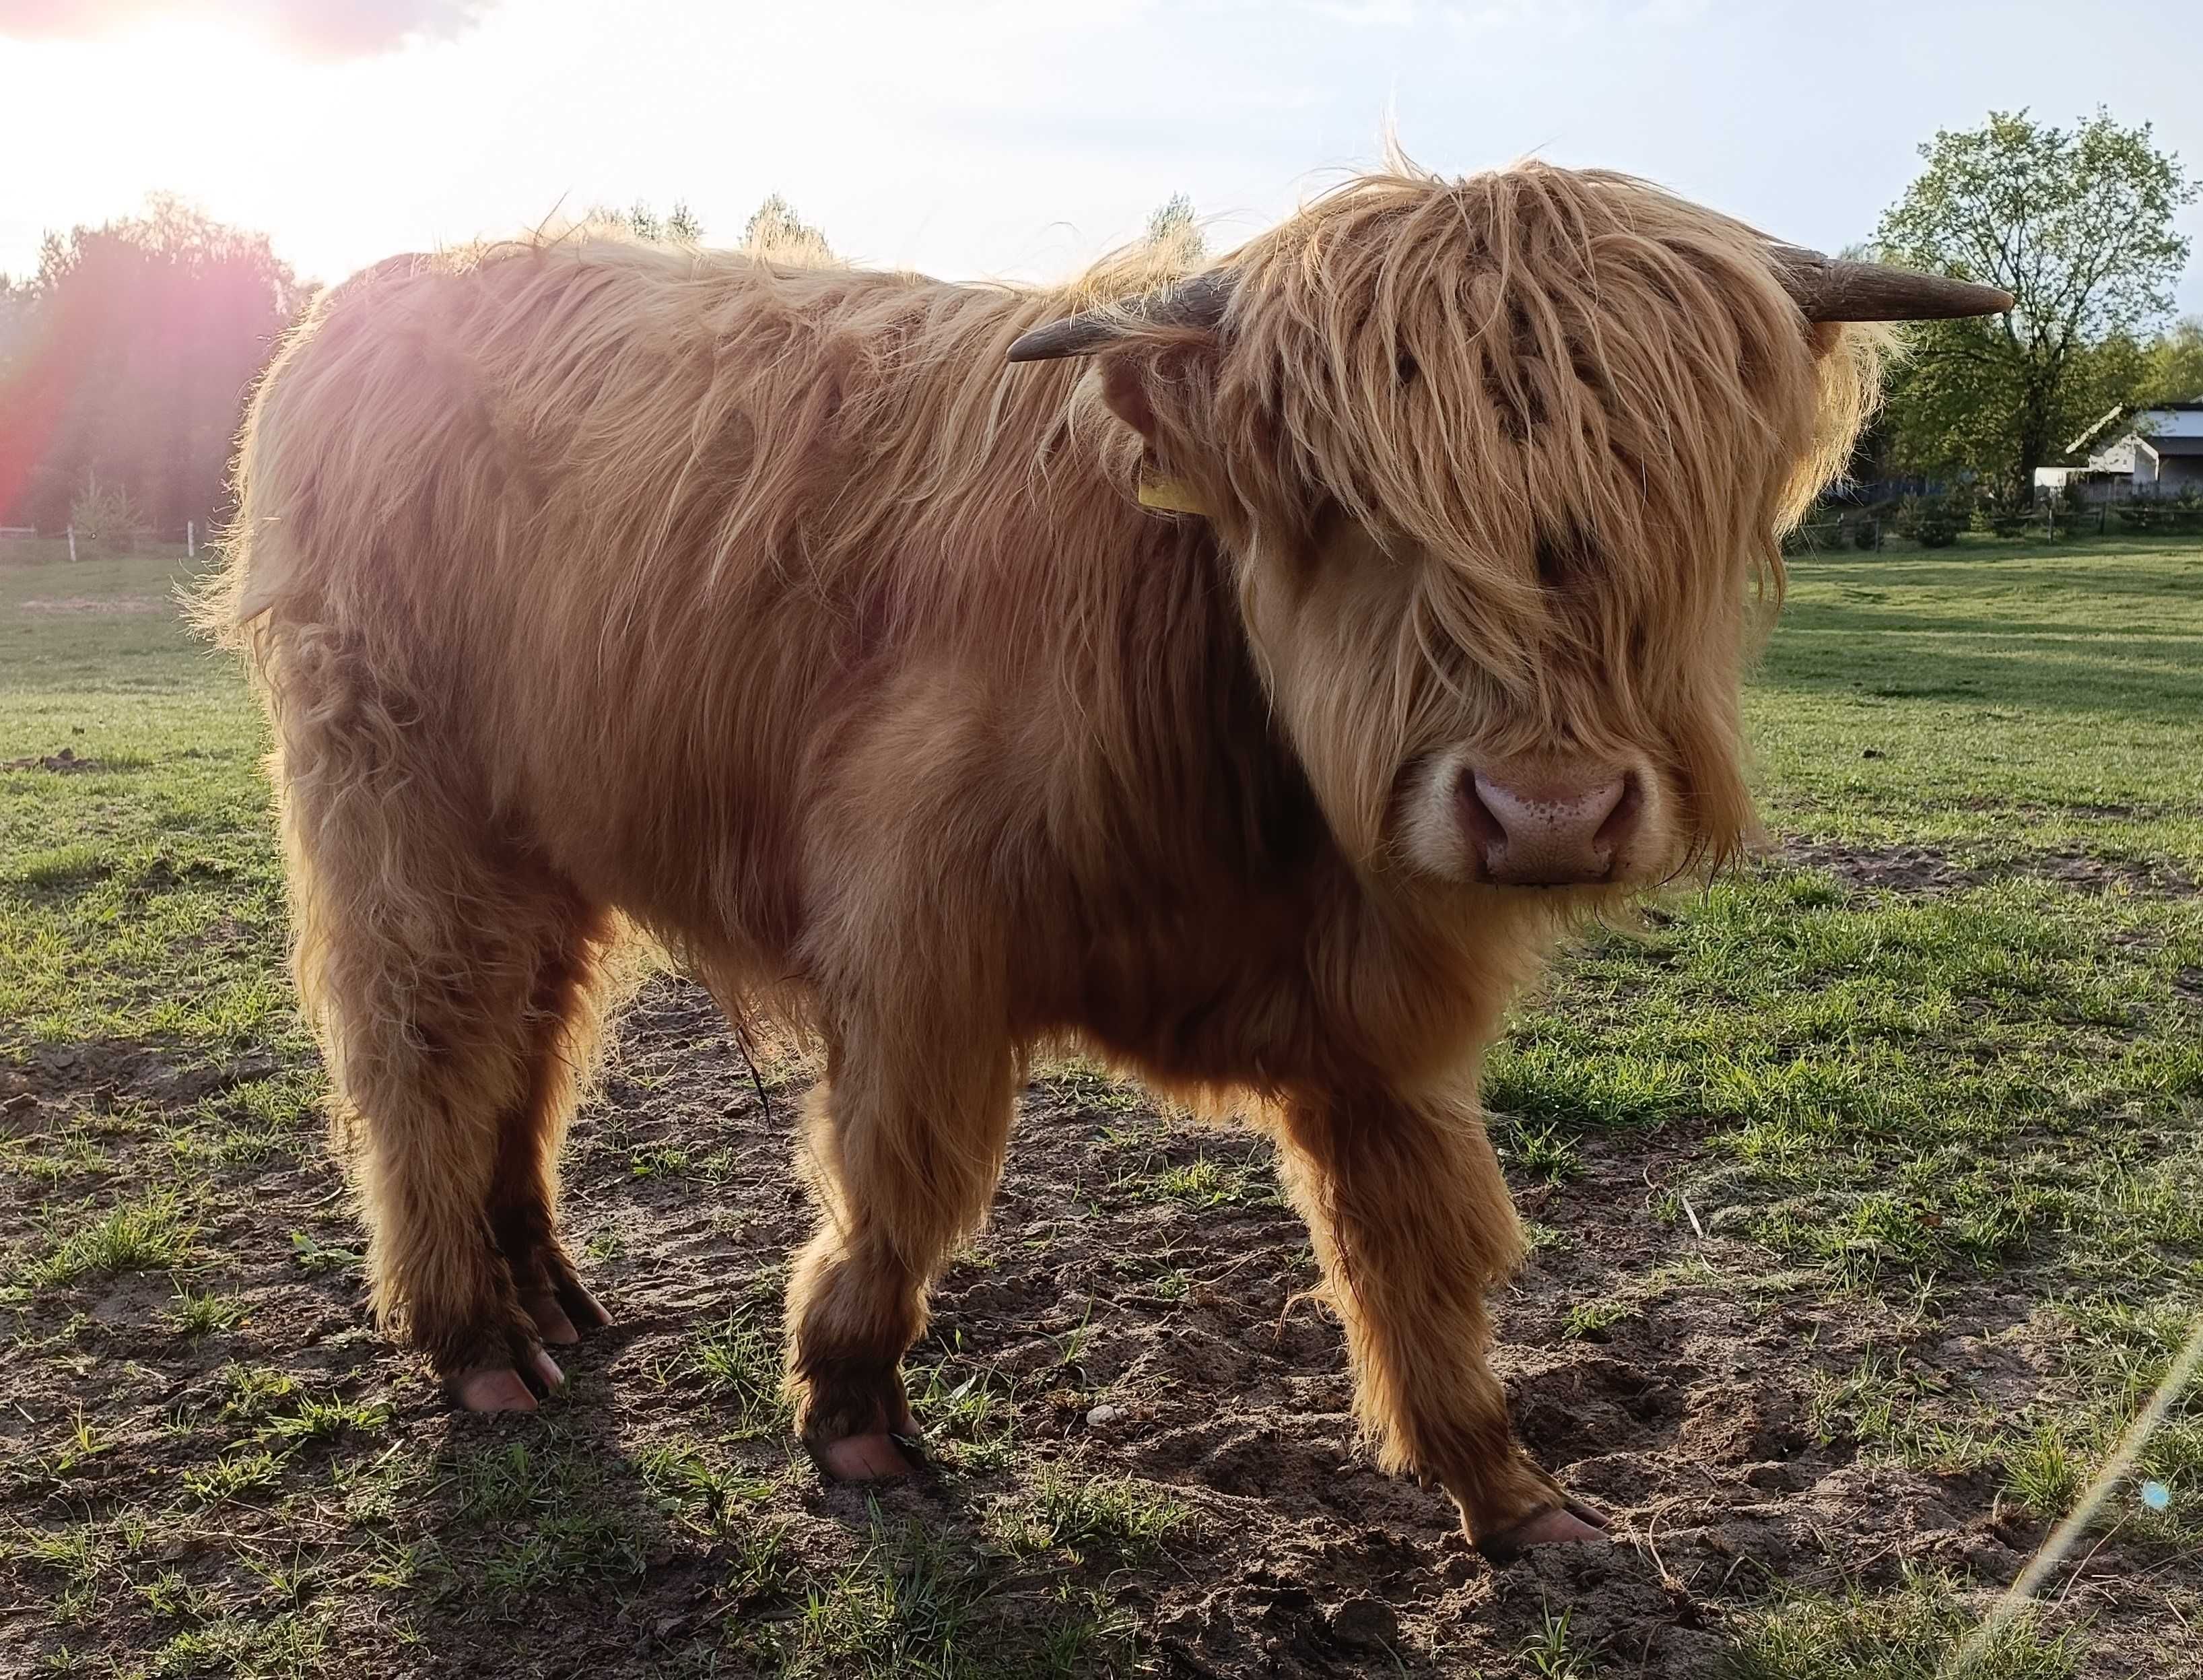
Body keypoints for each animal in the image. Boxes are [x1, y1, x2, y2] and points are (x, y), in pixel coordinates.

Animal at [207, 157, 2018, 1568]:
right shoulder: (921, 944)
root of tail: (365, 306)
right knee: (425, 1046)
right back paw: (475, 1338)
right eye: (1352, 504)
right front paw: (852, 1409)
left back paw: (545, 1287)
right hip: (402, 800)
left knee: (527, 1036)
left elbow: (1419, 1236)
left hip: (542, 831)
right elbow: (904, 1176)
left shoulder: (1382, 1010)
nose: (1550, 809)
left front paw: (1509, 1490)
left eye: (1664, 500)